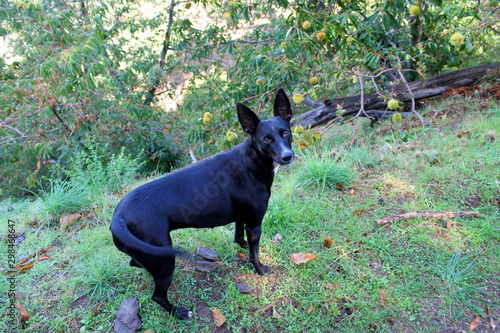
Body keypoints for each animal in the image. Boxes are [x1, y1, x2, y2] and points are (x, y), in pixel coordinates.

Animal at [110, 88, 292, 320]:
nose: (287, 156)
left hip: (150, 254)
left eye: (285, 132)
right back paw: (179, 313)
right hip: (165, 260)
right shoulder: (254, 223)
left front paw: (243, 248)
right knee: (158, 296)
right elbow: (256, 254)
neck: (252, 161)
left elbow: (240, 239)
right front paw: (260, 269)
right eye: (266, 139)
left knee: (135, 262)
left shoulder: (242, 219)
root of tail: (118, 216)